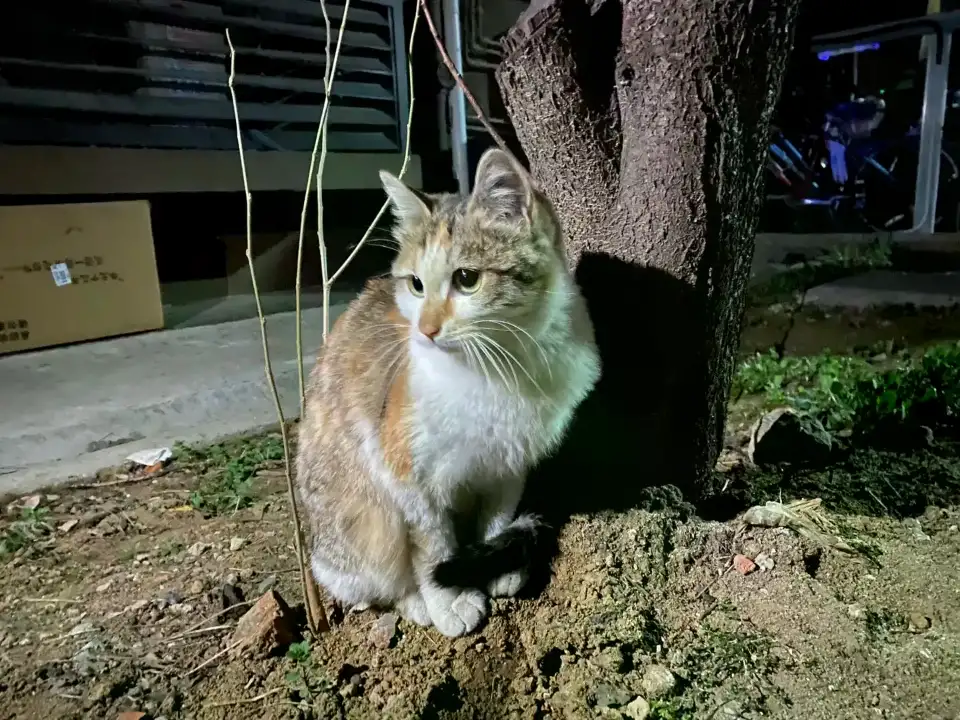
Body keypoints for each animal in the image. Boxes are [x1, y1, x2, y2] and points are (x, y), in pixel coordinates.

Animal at [296, 146, 604, 636]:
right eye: (416, 285)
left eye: (467, 278)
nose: (425, 329)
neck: (500, 366)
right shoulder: (408, 478)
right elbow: (432, 547)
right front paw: (449, 600)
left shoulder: (509, 462)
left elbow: (496, 518)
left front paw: (496, 563)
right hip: (360, 527)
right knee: (373, 583)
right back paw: (413, 602)